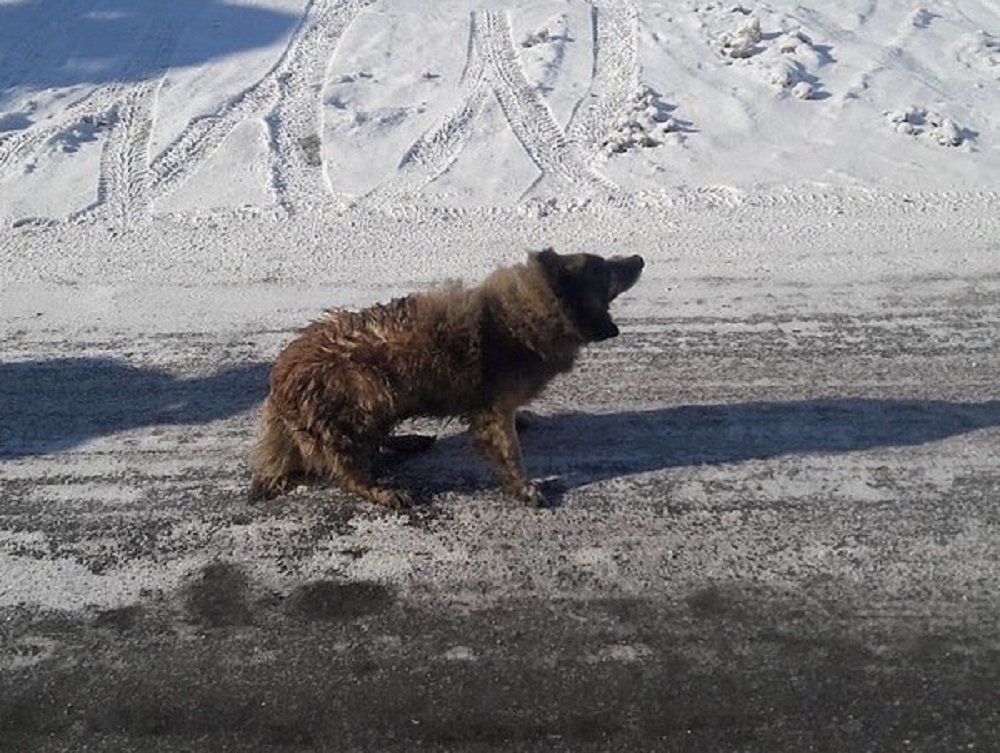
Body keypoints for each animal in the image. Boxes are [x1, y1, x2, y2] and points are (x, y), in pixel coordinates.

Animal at [249, 248, 644, 508]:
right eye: (604, 269)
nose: (639, 258)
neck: (522, 317)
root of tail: (277, 384)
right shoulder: (493, 409)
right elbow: (510, 452)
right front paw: (524, 488)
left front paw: (526, 420)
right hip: (364, 397)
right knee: (348, 474)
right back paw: (383, 491)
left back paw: (408, 442)